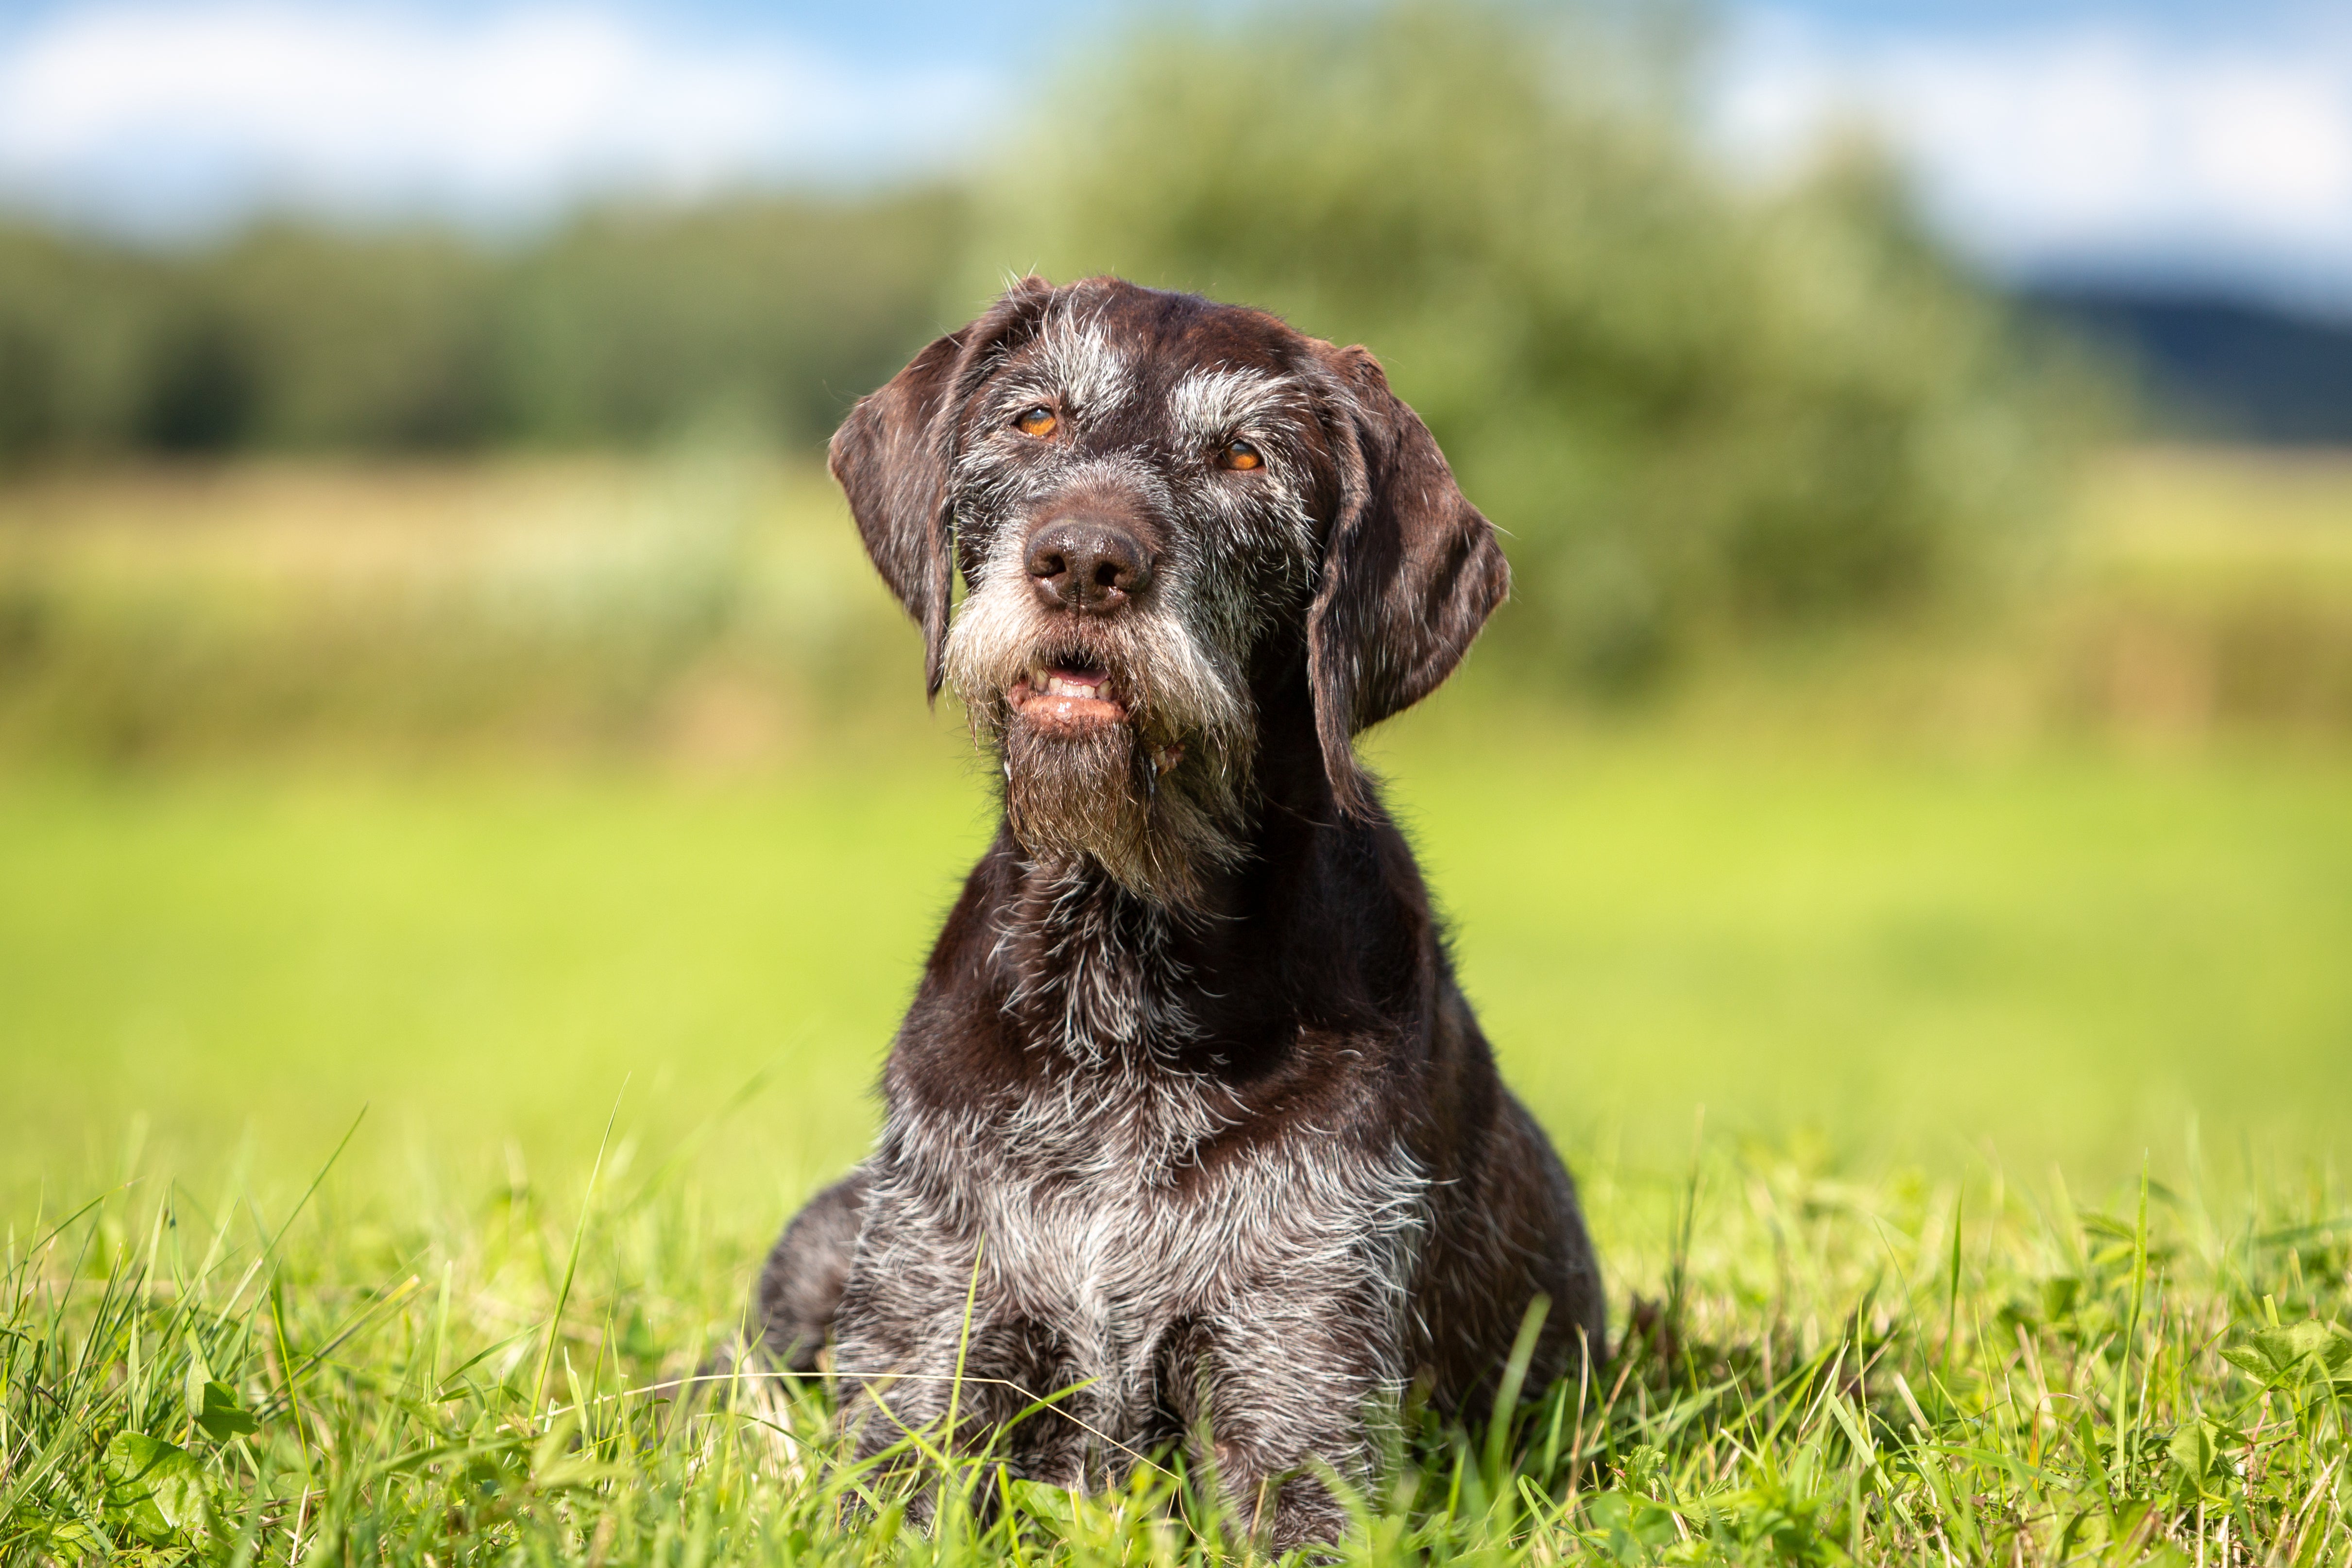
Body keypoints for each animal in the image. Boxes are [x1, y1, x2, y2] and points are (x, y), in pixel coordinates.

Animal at [762, 276, 1608, 1551]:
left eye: (1246, 457)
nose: (1082, 562)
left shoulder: (1297, 1393)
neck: (1119, 977)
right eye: (1035, 419)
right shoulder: (924, 1358)